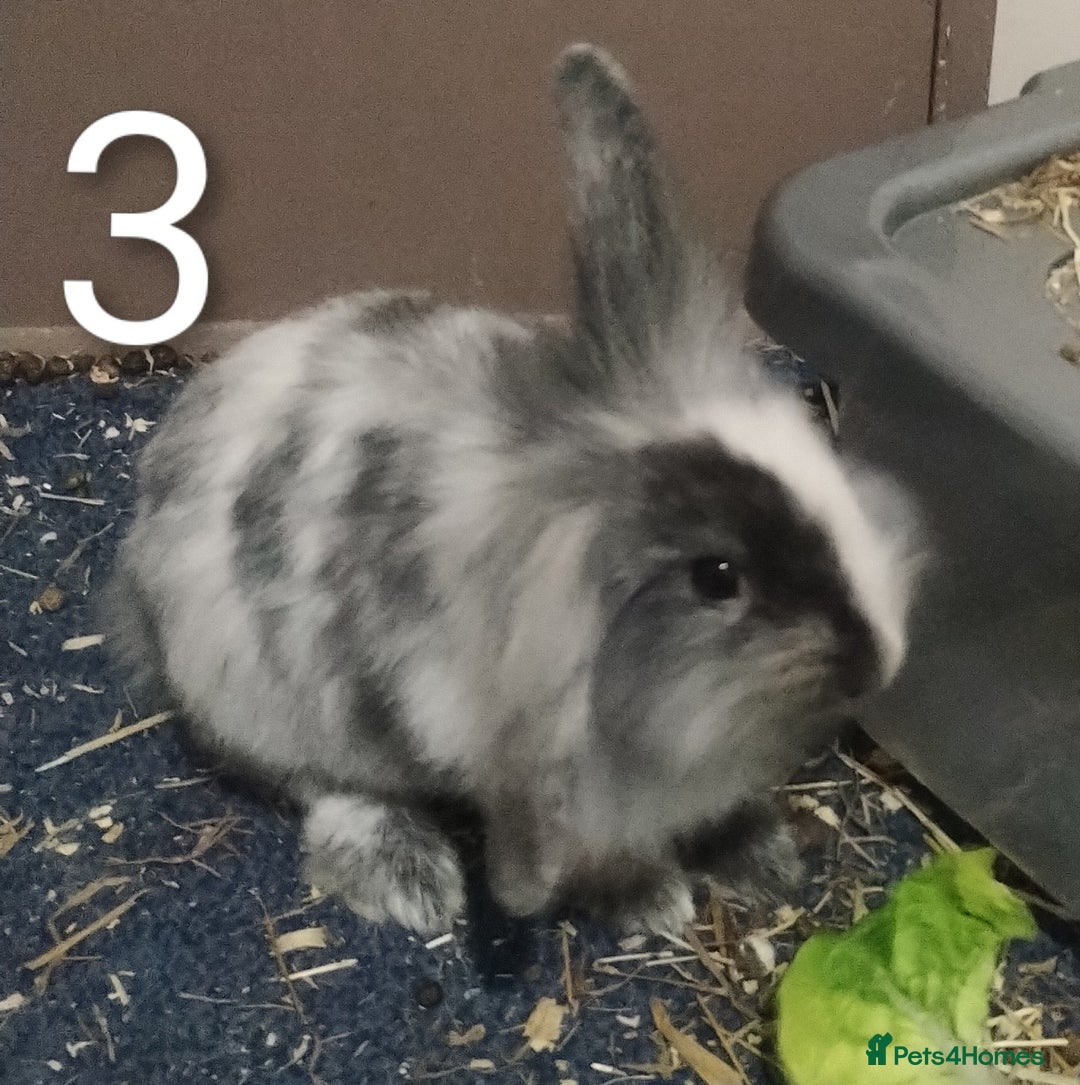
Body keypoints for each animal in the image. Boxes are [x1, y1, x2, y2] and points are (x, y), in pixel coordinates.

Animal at [104, 43, 920, 936]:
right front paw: (653, 897)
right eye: (717, 577)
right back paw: (406, 872)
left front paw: (760, 851)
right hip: (265, 697)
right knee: (326, 784)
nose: (879, 663)